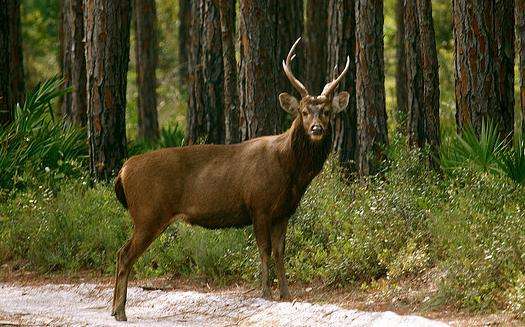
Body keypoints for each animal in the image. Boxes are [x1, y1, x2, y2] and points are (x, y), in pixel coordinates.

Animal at [110, 37, 348, 322]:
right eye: (302, 111)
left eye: (326, 111)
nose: (316, 129)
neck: (290, 172)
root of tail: (123, 171)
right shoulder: (259, 205)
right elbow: (264, 249)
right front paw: (265, 293)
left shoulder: (284, 212)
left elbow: (280, 251)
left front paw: (286, 293)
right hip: (148, 213)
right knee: (124, 254)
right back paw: (120, 311)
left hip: (146, 215)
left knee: (121, 253)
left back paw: (115, 309)